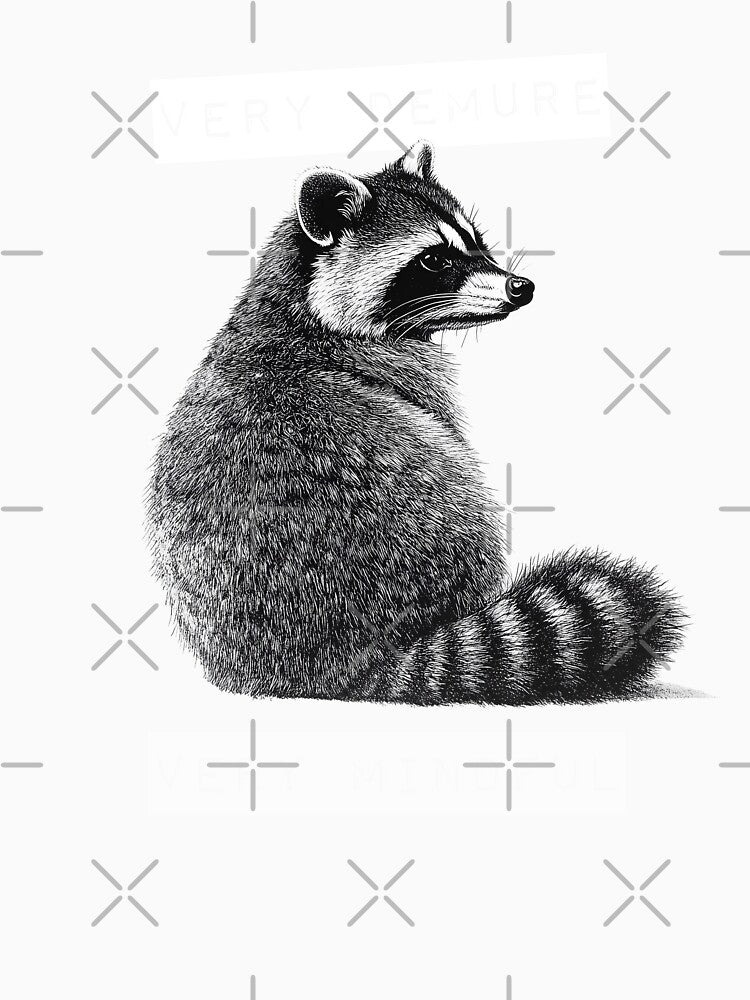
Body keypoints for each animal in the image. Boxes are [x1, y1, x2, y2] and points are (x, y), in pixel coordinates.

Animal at [146, 141, 685, 704]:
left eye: (477, 242)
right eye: (434, 259)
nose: (522, 286)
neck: (300, 302)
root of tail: (341, 668)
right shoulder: (405, 370)